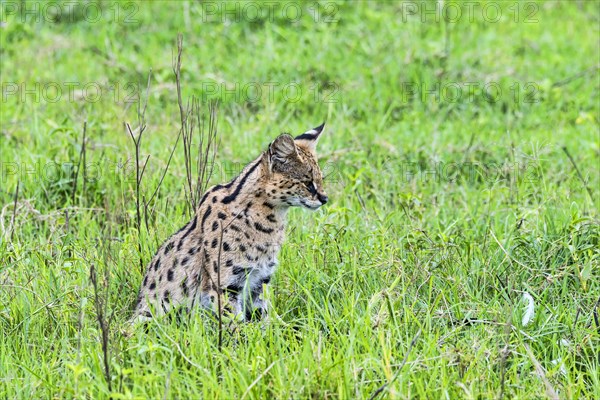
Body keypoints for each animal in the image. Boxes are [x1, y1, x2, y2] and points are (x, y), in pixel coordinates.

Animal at [132, 123, 328, 324]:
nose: (325, 198)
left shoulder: (259, 281)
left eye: (321, 180)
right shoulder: (225, 286)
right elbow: (235, 325)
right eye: (307, 183)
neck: (270, 220)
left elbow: (264, 320)